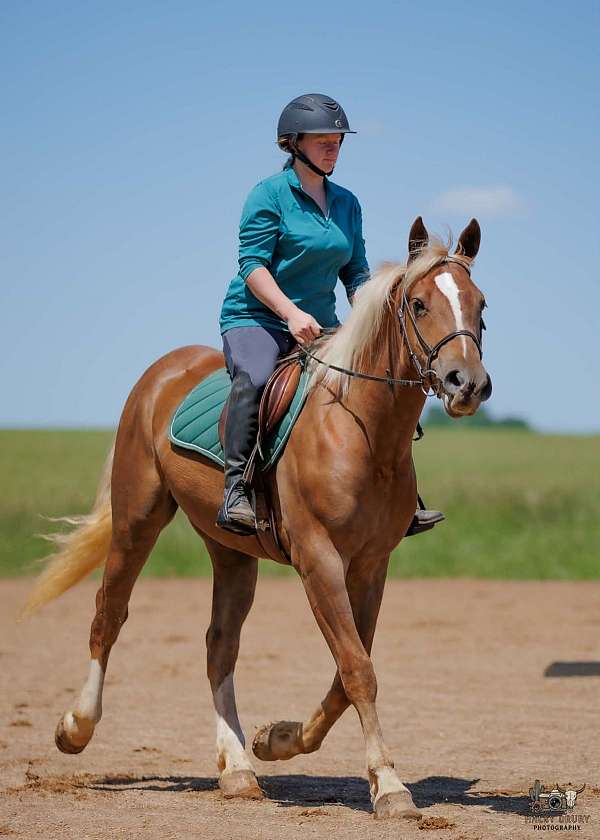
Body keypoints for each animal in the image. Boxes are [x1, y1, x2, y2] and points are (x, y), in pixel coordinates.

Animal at [24, 216, 491, 821]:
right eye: (417, 304)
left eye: (481, 304)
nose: (467, 384)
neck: (361, 431)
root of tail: (161, 372)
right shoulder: (319, 560)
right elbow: (357, 669)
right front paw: (389, 786)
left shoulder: (370, 565)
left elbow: (348, 671)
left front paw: (279, 740)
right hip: (136, 520)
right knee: (109, 614)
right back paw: (75, 728)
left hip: (230, 551)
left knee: (219, 645)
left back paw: (239, 767)